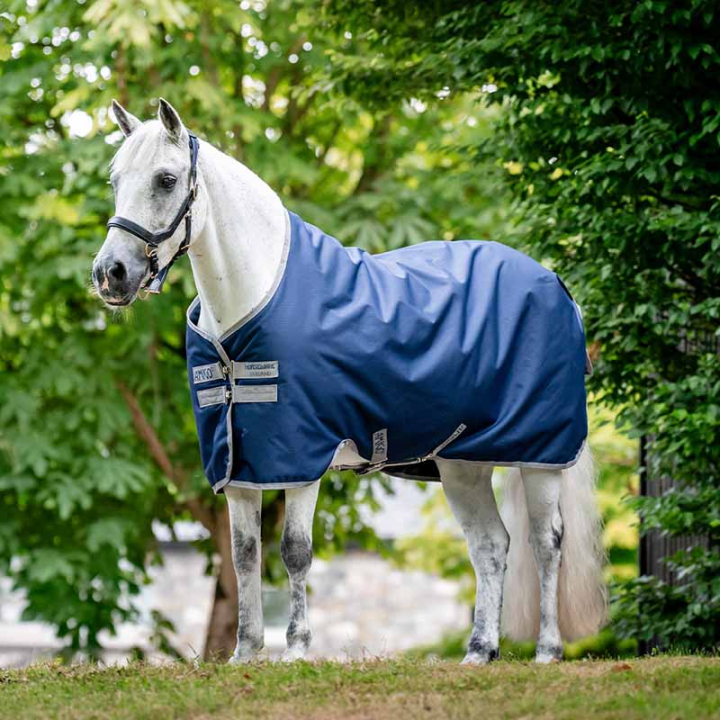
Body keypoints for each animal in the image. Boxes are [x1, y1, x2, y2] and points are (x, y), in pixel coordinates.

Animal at [92, 99, 607, 665]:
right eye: (116, 180)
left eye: (166, 179)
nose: (110, 273)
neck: (250, 306)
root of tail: (555, 285)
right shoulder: (239, 466)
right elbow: (245, 554)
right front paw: (246, 653)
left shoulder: (302, 457)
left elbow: (294, 551)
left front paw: (296, 650)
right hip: (462, 465)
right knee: (491, 545)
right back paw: (479, 651)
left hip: (541, 456)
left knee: (546, 542)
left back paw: (548, 650)